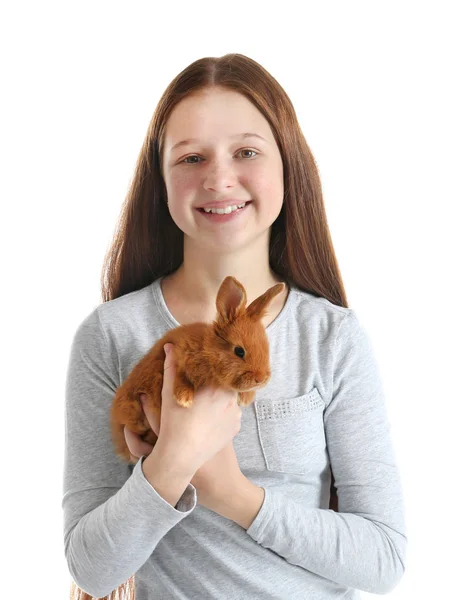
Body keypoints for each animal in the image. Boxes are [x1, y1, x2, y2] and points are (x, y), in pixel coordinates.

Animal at [110, 276, 284, 464]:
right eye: (239, 351)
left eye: (266, 348)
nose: (261, 379)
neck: (207, 350)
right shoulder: (178, 355)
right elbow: (181, 376)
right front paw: (184, 399)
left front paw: (246, 397)